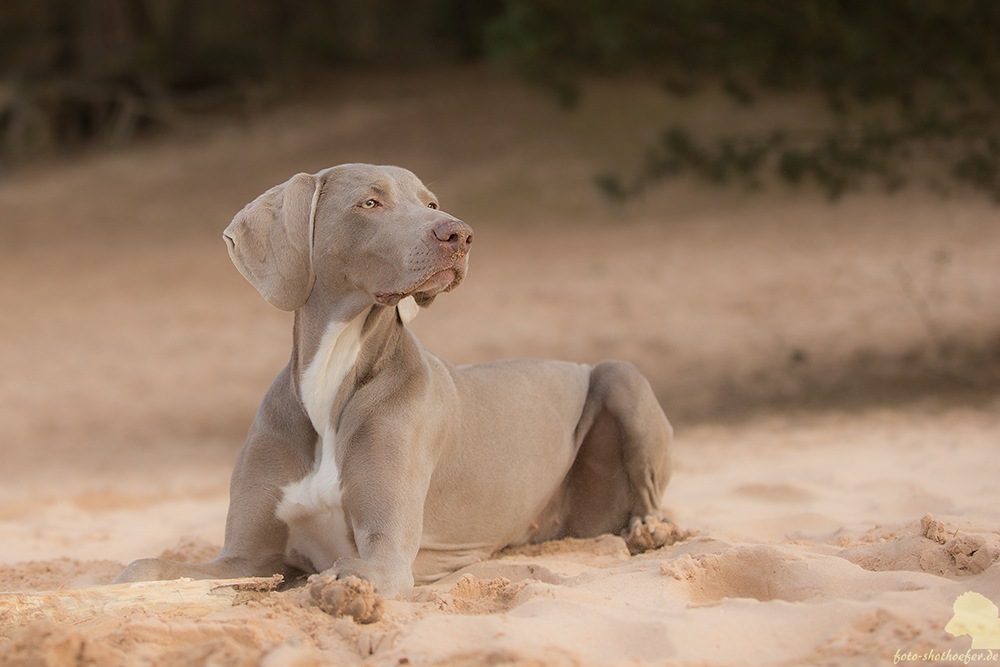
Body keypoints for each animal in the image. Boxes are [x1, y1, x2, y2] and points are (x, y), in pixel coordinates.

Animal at [115, 162, 680, 612]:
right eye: (370, 201)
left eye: (431, 203)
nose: (461, 234)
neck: (333, 377)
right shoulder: (245, 557)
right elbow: (143, 567)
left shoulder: (386, 549)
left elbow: (359, 568)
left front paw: (346, 591)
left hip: (620, 374)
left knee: (648, 496)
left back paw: (652, 530)